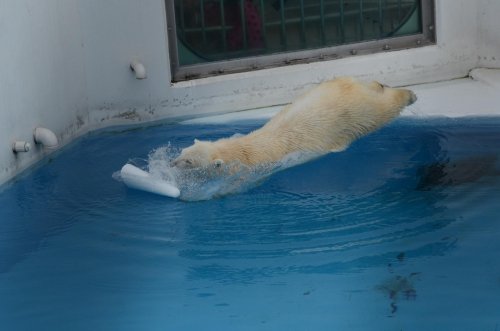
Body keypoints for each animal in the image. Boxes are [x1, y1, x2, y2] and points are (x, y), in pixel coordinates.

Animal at [174, 77, 416, 170]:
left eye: (188, 162)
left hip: (357, 113)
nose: (173, 163)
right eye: (182, 151)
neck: (240, 151)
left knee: (381, 110)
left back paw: (409, 95)